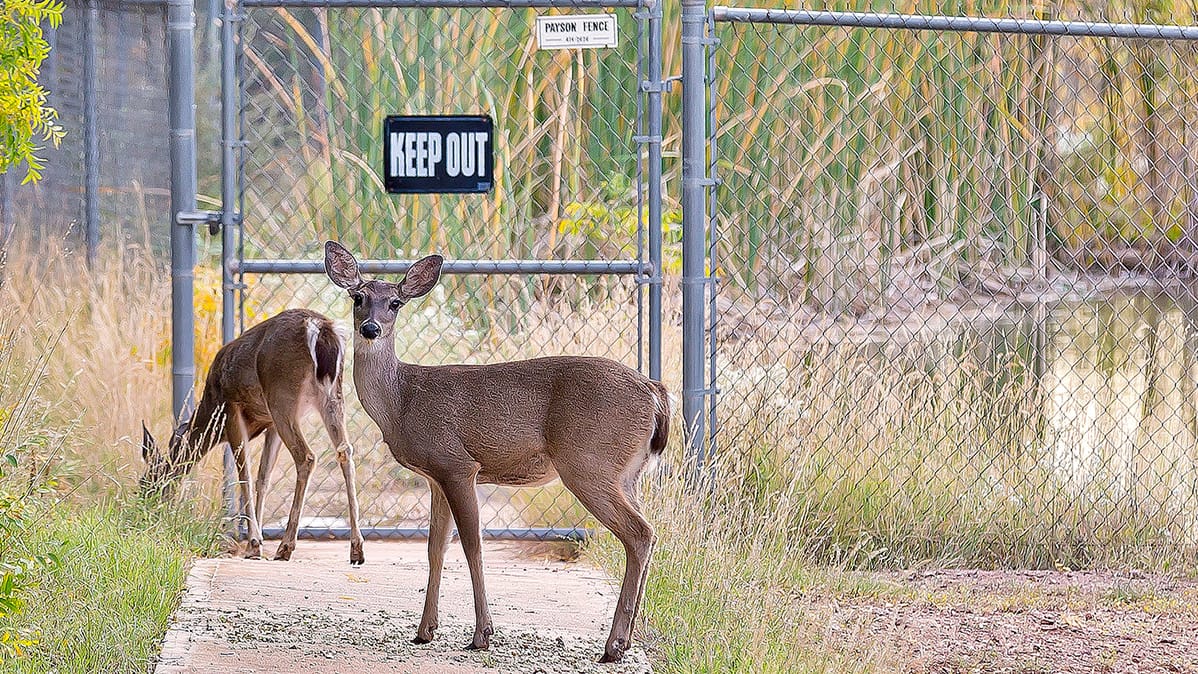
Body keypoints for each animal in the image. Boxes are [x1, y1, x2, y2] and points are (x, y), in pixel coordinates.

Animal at [140, 308, 365, 566]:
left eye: (147, 481)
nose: (144, 506)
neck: (210, 409)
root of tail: (321, 328)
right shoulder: (270, 425)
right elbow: (262, 477)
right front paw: (253, 542)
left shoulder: (231, 409)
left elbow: (244, 475)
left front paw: (255, 544)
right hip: (331, 396)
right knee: (345, 450)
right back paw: (356, 549)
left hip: (281, 394)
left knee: (306, 456)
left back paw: (285, 547)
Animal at [323, 240, 668, 663]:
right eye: (358, 297)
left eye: (395, 302)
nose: (370, 328)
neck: (401, 401)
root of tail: (655, 392)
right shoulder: (435, 477)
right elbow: (435, 549)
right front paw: (424, 631)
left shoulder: (457, 463)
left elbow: (473, 546)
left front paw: (482, 634)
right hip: (626, 473)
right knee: (648, 533)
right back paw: (627, 638)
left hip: (589, 464)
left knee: (640, 533)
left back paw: (614, 645)